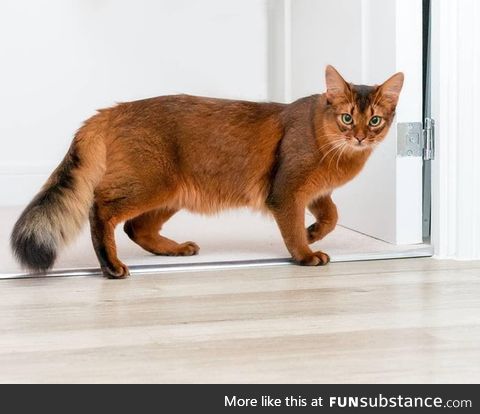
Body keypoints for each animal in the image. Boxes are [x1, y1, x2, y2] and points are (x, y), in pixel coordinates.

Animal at [11, 65, 402, 278]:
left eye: (375, 121)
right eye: (347, 118)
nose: (361, 137)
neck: (332, 147)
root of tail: (109, 111)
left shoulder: (317, 192)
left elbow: (333, 215)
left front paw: (315, 232)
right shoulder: (286, 191)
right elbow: (292, 229)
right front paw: (305, 253)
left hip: (173, 192)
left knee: (135, 227)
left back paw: (174, 249)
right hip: (150, 184)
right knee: (102, 209)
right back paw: (111, 266)